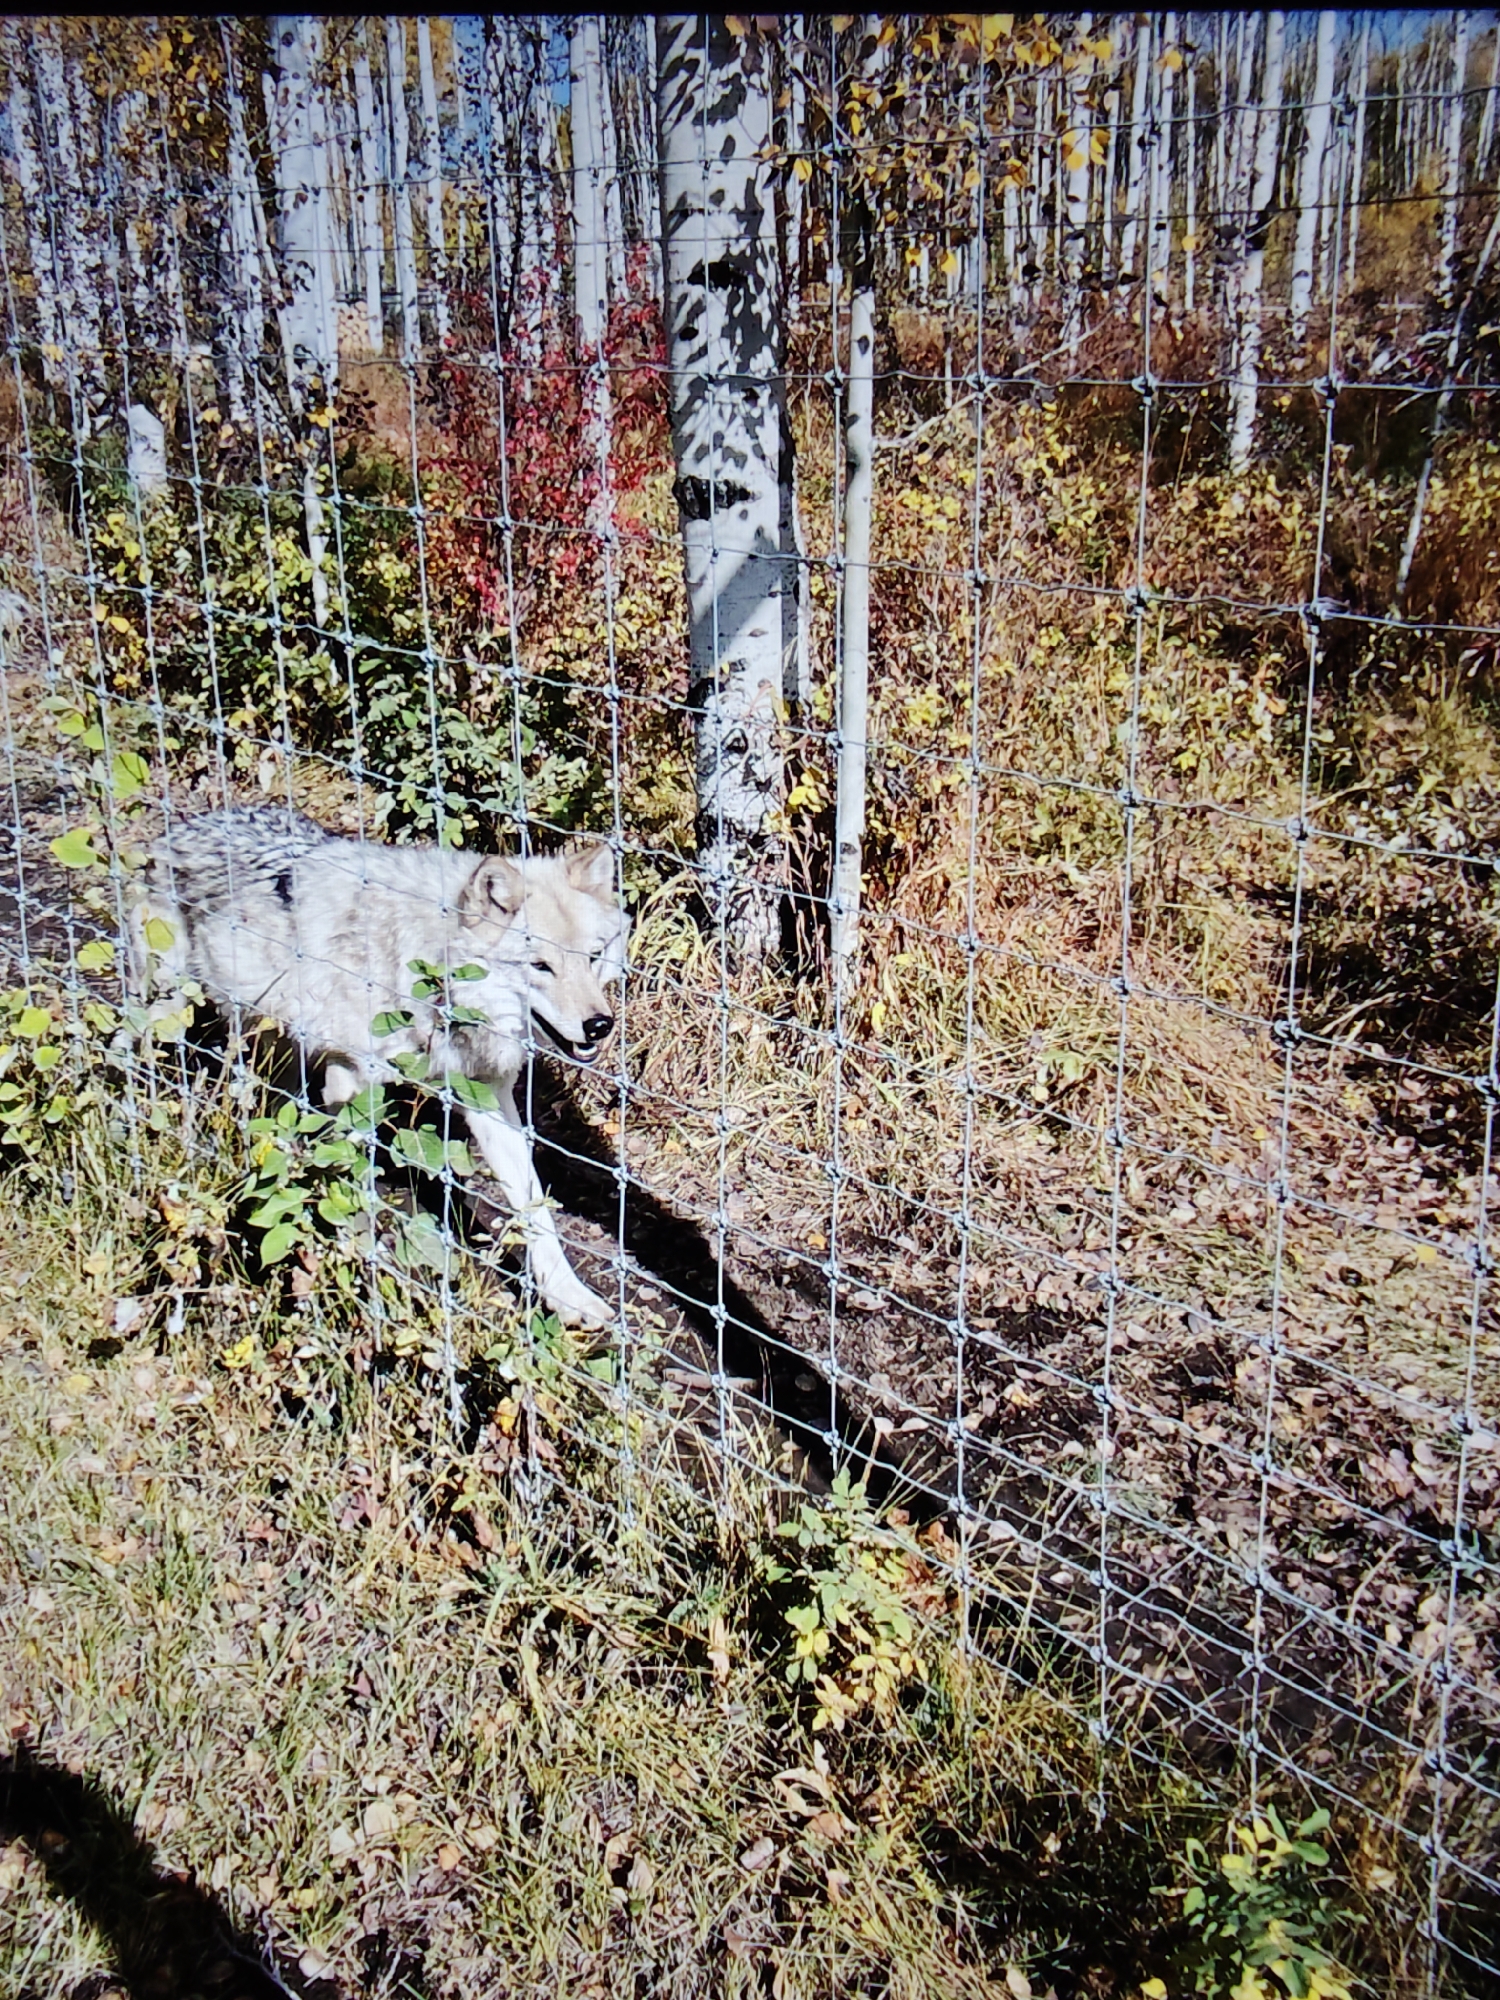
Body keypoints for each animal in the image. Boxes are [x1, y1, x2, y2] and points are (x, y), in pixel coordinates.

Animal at [130, 806, 627, 1329]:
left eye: (593, 957)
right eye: (540, 966)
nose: (599, 1025)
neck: (431, 972)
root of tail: (185, 824)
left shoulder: (486, 1094)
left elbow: (535, 1211)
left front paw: (569, 1298)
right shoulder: (350, 1083)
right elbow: (344, 1174)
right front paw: (348, 1251)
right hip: (163, 1012)